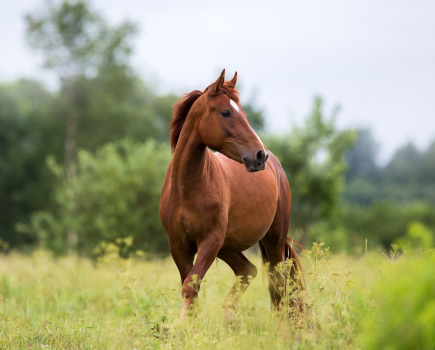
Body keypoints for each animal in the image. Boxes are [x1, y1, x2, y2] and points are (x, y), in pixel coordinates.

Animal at [158, 69, 304, 318]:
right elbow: (190, 290)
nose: (259, 155)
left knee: (278, 285)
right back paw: (229, 315)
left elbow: (190, 287)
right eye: (225, 112)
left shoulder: (210, 242)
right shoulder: (179, 246)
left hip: (272, 240)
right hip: (228, 247)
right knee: (248, 271)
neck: (186, 189)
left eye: (242, 112)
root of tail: (276, 167)